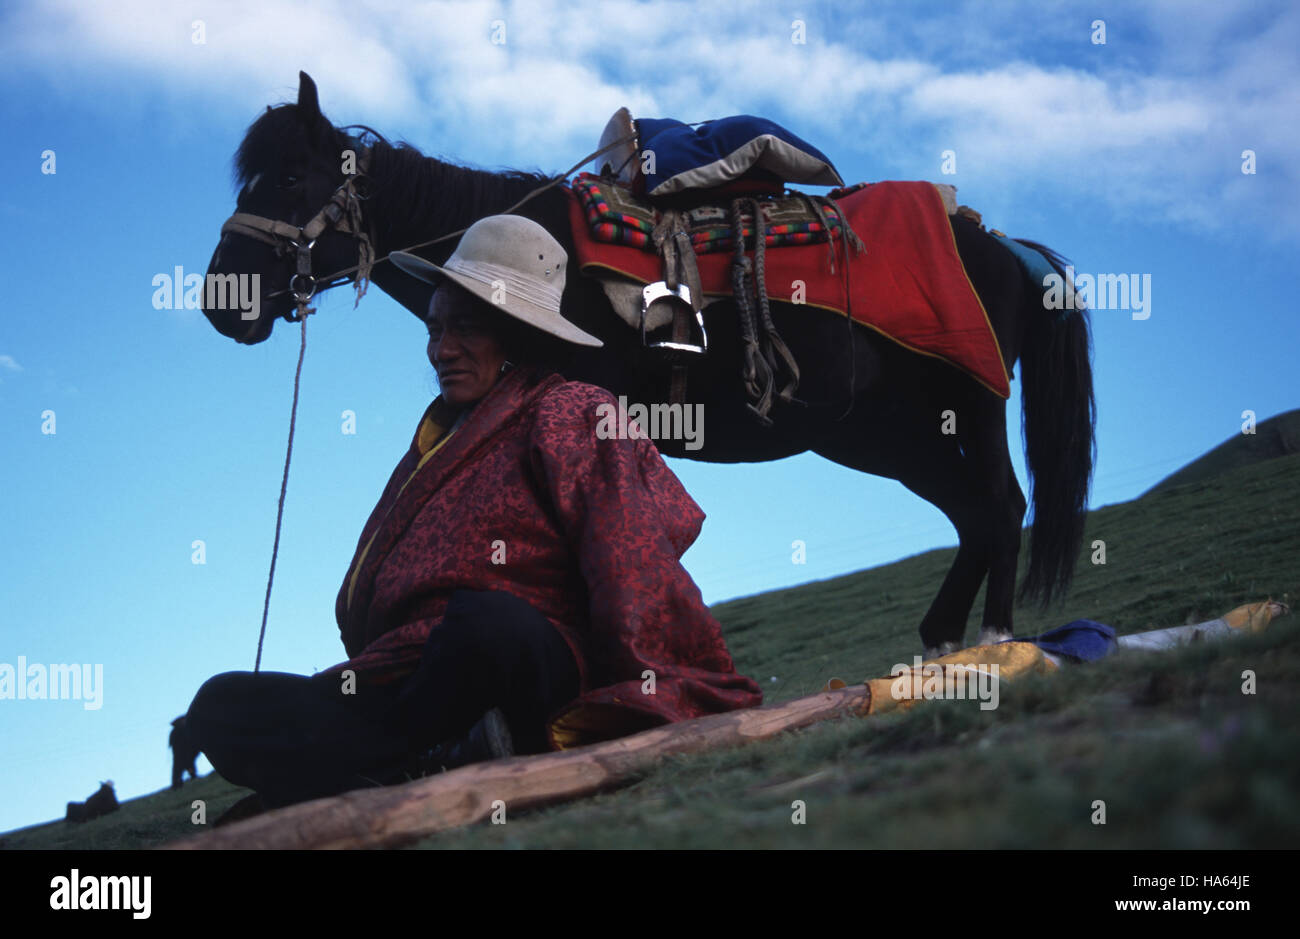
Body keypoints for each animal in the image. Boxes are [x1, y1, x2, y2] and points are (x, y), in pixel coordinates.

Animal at [205, 73, 1097, 655]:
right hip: (889, 435)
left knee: (1001, 501)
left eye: (291, 175)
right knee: (971, 511)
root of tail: (1001, 243)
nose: (222, 298)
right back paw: (943, 641)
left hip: (970, 399)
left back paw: (995, 640)